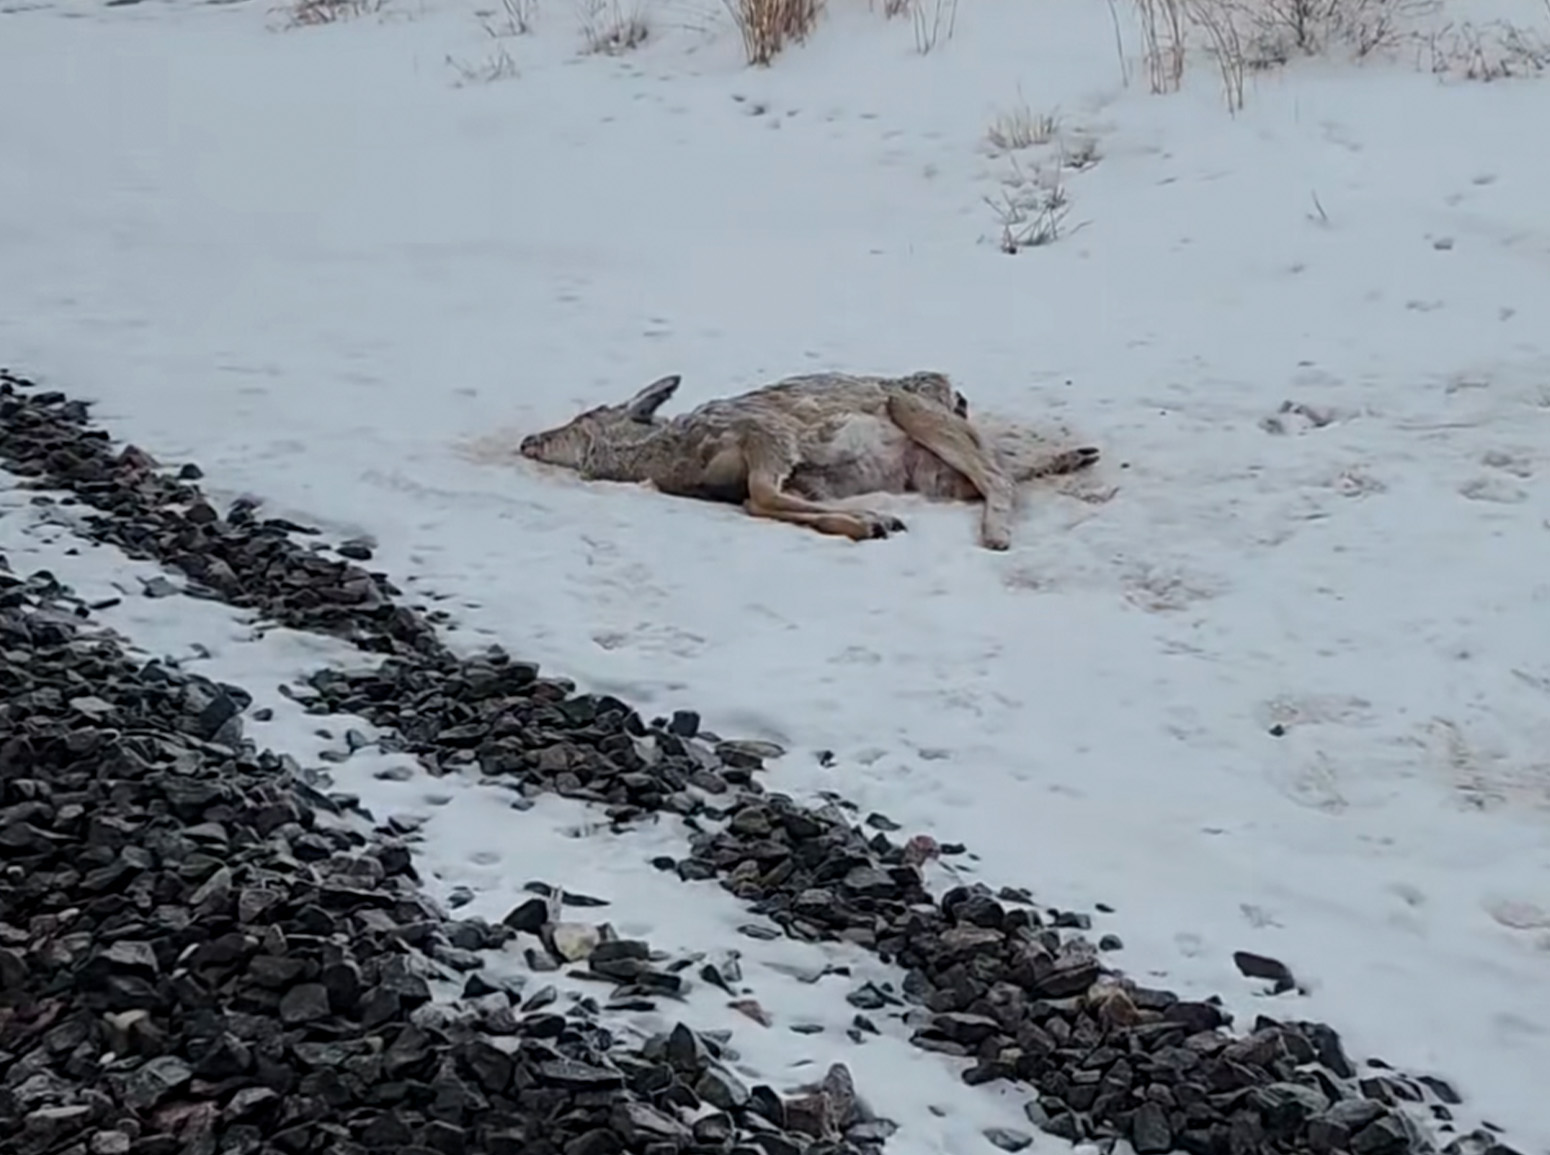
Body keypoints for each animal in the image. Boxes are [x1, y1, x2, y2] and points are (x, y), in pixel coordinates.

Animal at [518, 371, 1100, 550]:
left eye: (581, 418)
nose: (528, 440)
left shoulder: (766, 436)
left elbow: (764, 496)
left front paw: (869, 521)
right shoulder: (779, 462)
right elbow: (766, 499)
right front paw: (870, 520)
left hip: (916, 418)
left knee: (998, 476)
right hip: (929, 454)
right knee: (996, 475)